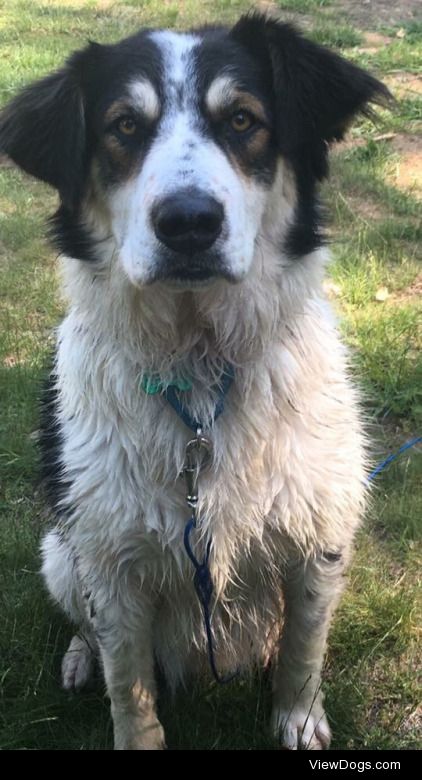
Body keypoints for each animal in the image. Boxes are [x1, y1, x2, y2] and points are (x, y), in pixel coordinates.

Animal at [0, 13, 390, 748]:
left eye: (242, 119)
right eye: (124, 126)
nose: (188, 223)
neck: (200, 362)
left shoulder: (319, 537)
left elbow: (303, 648)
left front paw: (298, 720)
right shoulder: (111, 560)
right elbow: (129, 685)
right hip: (60, 553)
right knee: (83, 624)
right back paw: (78, 658)